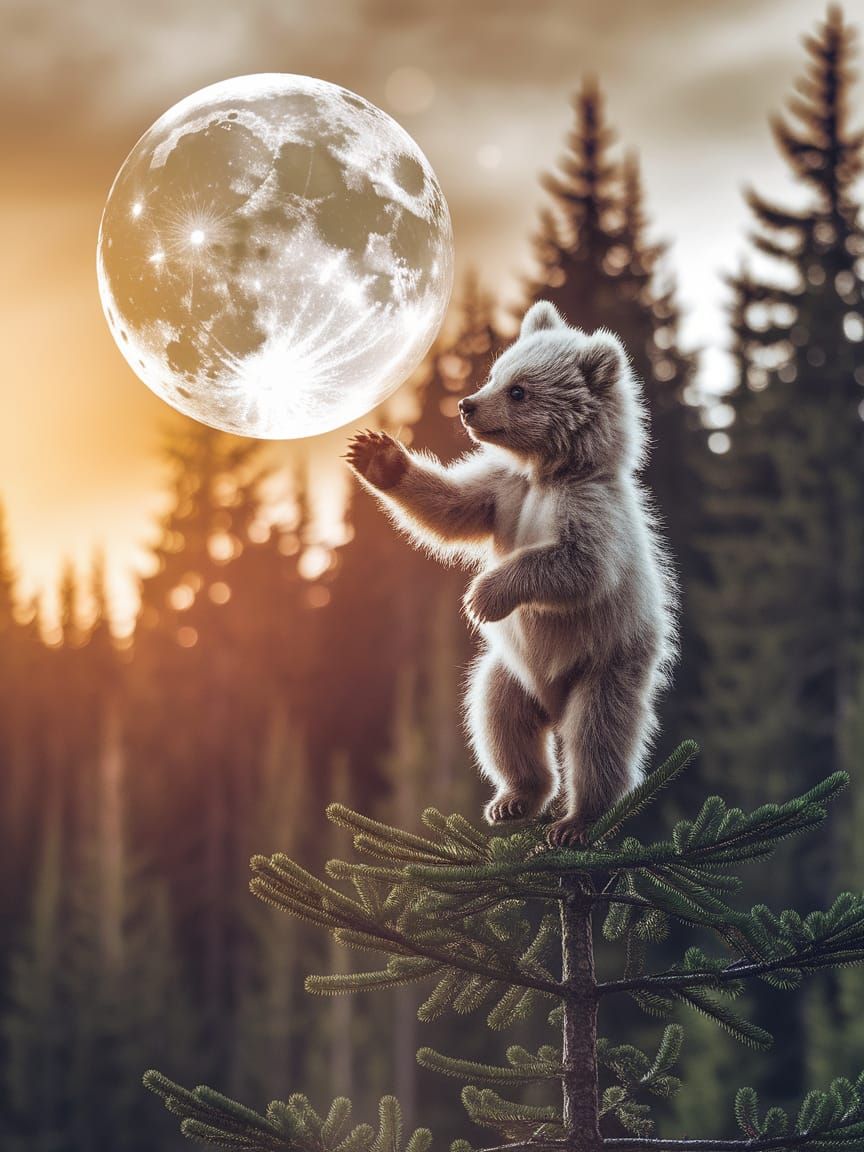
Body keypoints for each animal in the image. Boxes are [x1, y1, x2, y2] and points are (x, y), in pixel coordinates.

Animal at [345, 300, 678, 846]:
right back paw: (515, 798)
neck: (548, 472)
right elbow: (450, 508)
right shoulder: (502, 492)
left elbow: (578, 566)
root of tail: (553, 704)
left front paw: (483, 594)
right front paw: (378, 456)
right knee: (498, 721)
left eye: (519, 390)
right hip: (510, 675)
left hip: (607, 664)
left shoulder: (591, 511)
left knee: (597, 739)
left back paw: (578, 819)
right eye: (496, 373)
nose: (468, 405)